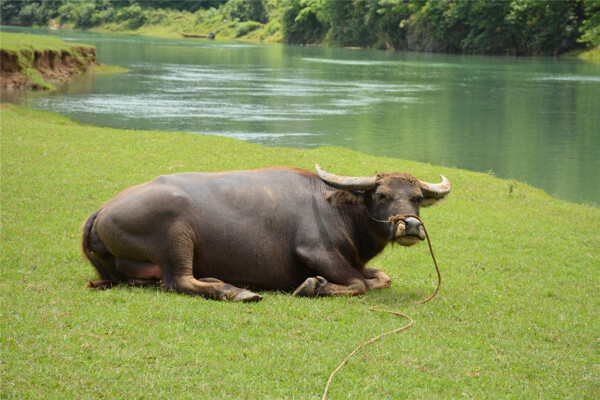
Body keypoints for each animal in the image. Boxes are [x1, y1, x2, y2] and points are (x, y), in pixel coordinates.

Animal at [83, 164, 450, 302]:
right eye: (382, 195)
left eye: (417, 198)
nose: (411, 226)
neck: (337, 210)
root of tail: (101, 211)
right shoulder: (313, 251)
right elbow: (358, 283)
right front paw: (313, 285)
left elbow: (380, 277)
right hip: (177, 236)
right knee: (178, 281)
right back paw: (237, 292)